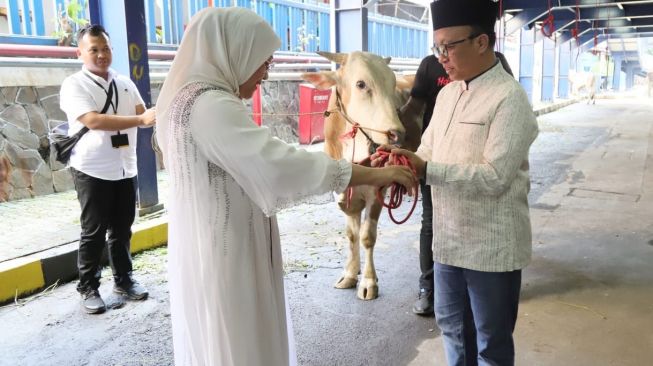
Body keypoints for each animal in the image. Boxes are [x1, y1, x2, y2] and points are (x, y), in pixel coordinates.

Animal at [300, 51, 418, 298]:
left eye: (392, 83)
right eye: (361, 84)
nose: (396, 134)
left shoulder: (377, 191)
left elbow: (367, 237)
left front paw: (369, 282)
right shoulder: (344, 193)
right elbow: (351, 235)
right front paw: (350, 274)